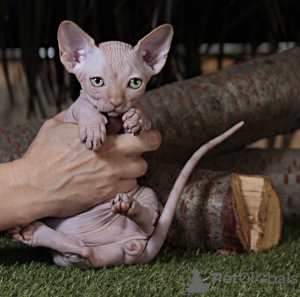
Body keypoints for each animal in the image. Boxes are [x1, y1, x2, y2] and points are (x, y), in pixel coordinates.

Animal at [6, 19, 244, 268]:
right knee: (78, 249)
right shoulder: (68, 115)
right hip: (65, 249)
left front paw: (135, 118)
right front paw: (93, 125)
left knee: (146, 225)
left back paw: (129, 208)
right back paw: (31, 233)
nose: (116, 102)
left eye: (135, 83)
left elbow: (143, 115)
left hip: (144, 194)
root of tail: (117, 253)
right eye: (97, 81)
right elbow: (84, 105)